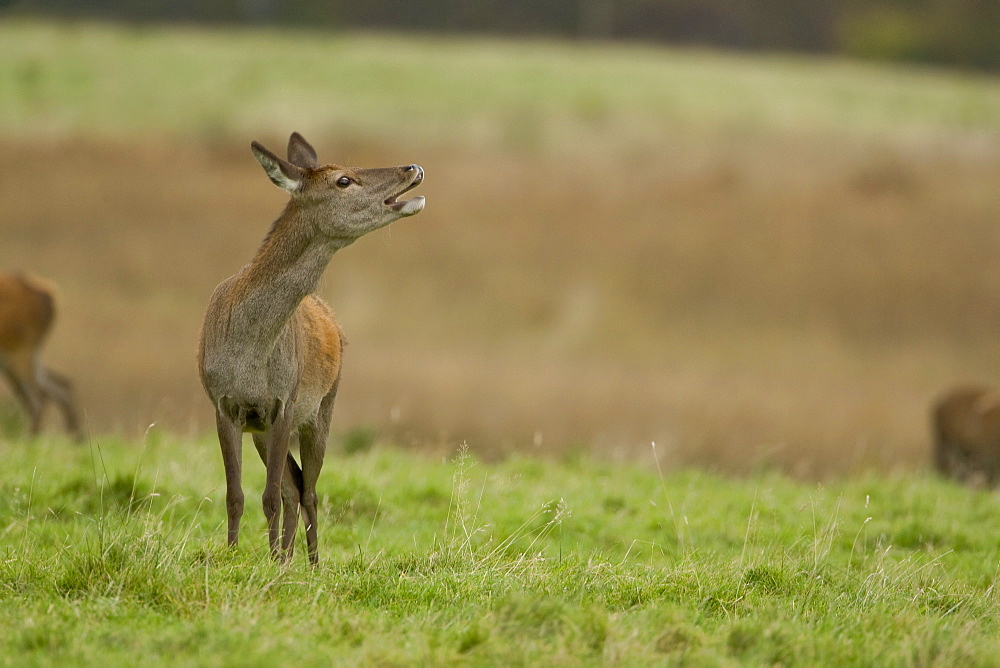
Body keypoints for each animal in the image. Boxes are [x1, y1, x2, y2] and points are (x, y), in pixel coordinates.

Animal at [0, 268, 83, 440]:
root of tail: (50, 292)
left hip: (19, 351)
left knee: (37, 400)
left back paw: (28, 441)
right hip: (21, 356)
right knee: (60, 386)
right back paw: (77, 438)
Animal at [197, 132, 424, 564]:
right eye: (343, 180)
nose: (414, 167)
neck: (249, 349)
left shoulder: (285, 400)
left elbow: (270, 495)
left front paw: (268, 561)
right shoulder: (224, 404)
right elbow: (237, 495)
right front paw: (234, 556)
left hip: (323, 406)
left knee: (308, 490)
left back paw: (310, 562)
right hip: (262, 428)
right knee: (294, 485)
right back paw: (287, 557)